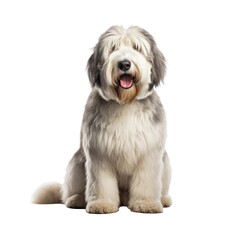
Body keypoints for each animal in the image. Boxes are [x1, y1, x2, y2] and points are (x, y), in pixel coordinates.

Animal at [32, 25, 172, 214]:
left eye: (136, 47)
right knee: (67, 192)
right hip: (76, 164)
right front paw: (102, 204)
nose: (124, 64)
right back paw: (76, 199)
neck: (125, 103)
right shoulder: (99, 153)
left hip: (166, 162)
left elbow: (146, 181)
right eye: (113, 48)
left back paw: (163, 199)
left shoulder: (149, 154)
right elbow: (102, 183)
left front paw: (146, 203)